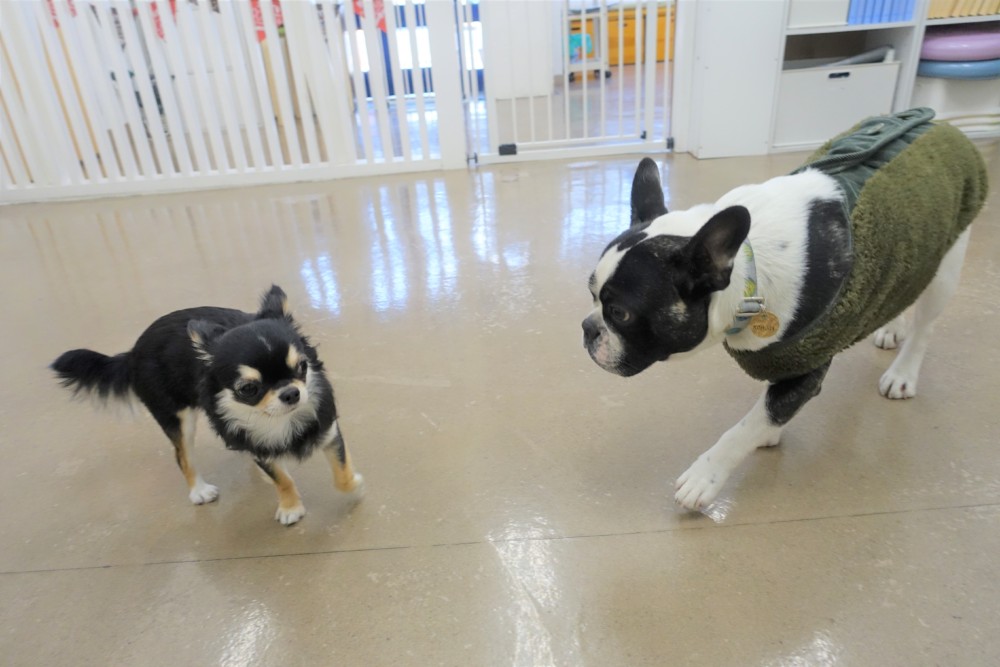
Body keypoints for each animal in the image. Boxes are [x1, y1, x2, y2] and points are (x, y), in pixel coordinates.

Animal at [51, 285, 363, 525]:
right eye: (248, 389)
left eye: (301, 367)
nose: (291, 393)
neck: (277, 419)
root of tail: (133, 352)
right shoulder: (251, 441)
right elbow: (282, 479)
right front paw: (291, 507)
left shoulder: (327, 431)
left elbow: (341, 474)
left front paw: (354, 488)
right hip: (177, 419)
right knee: (183, 457)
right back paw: (199, 491)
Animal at [583, 115, 987, 512]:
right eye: (591, 295)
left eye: (620, 313)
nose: (588, 328)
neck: (749, 270)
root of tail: (945, 126)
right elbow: (769, 410)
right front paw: (772, 432)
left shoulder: (808, 366)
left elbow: (752, 423)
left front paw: (706, 475)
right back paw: (891, 327)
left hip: (946, 265)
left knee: (925, 326)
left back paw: (903, 373)